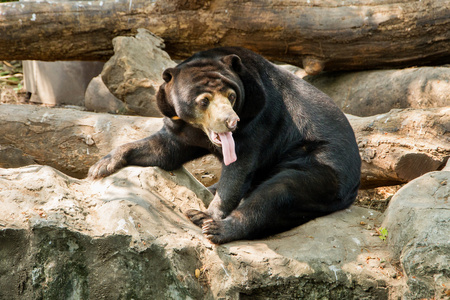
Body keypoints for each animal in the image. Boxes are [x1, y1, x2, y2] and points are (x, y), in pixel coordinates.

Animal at [89, 47, 362, 244]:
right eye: (204, 101)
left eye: (231, 96)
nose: (231, 121)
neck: (199, 130)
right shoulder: (181, 127)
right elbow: (164, 149)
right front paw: (100, 166)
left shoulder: (259, 118)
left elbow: (238, 169)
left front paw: (207, 215)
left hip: (321, 167)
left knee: (280, 192)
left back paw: (218, 227)